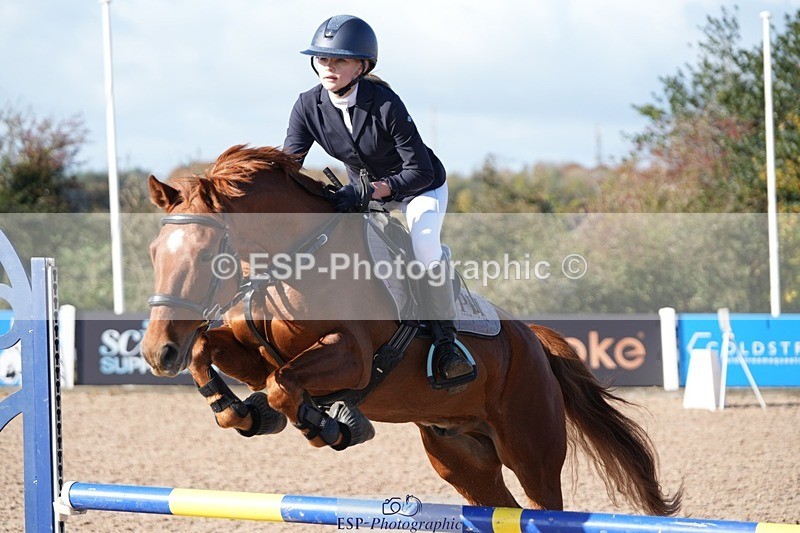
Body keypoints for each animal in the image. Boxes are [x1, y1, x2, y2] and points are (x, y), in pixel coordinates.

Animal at [140, 144, 681, 515]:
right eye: (153, 252)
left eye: (207, 255)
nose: (155, 352)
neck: (297, 257)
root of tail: (532, 341)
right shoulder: (252, 353)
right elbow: (211, 353)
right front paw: (238, 412)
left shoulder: (353, 358)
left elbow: (284, 383)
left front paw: (331, 426)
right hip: (461, 457)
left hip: (532, 452)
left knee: (544, 505)